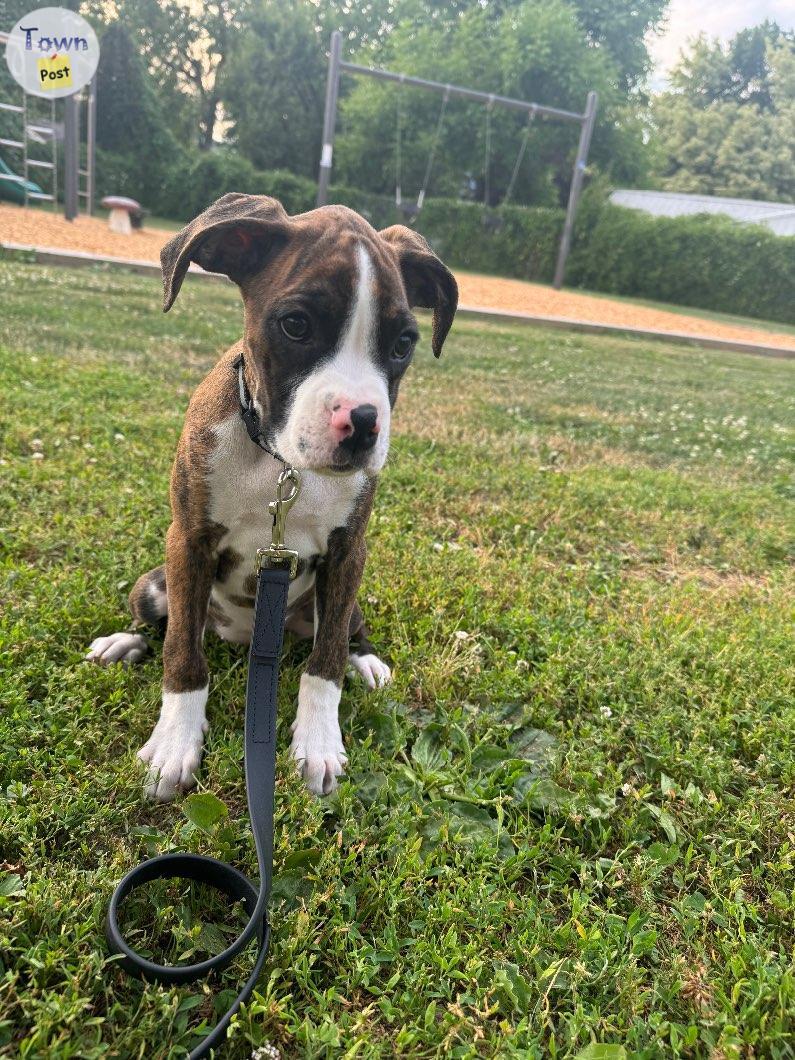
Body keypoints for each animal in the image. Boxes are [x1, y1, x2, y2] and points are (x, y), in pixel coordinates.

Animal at [85, 195, 460, 797]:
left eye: (404, 344)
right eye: (296, 325)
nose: (362, 423)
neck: (279, 463)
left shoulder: (348, 551)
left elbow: (324, 662)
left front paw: (319, 742)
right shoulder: (188, 541)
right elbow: (182, 652)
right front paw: (175, 743)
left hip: (341, 597)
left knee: (344, 633)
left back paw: (366, 661)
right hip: (155, 583)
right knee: (163, 623)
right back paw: (126, 642)